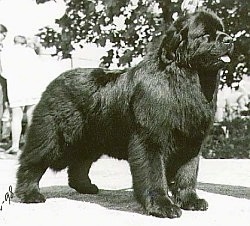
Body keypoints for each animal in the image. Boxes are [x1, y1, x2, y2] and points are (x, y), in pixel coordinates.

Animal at [15, 9, 233, 218]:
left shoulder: (191, 141)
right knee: (32, 162)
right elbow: (154, 175)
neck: (184, 80)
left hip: (92, 140)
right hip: (53, 137)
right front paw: (162, 206)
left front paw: (190, 201)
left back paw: (86, 187)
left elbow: (187, 174)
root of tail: (55, 81)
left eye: (221, 30)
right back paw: (29, 194)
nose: (229, 39)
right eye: (205, 35)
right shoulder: (150, 138)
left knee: (79, 164)